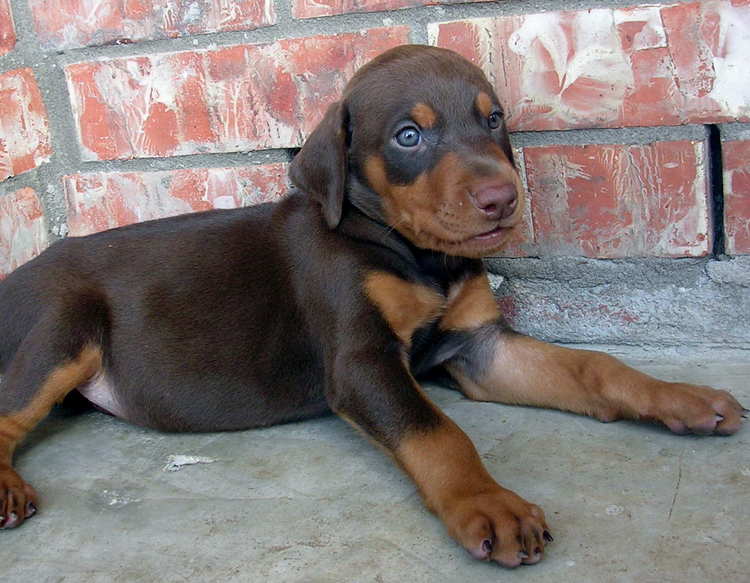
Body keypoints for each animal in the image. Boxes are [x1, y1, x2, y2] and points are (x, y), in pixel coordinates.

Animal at [0, 48, 748, 568]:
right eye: (408, 136)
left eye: (493, 117)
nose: (502, 199)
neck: (413, 253)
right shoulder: (362, 360)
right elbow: (437, 431)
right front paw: (489, 504)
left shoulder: (479, 346)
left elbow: (595, 366)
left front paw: (681, 396)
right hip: (65, 324)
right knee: (10, 411)